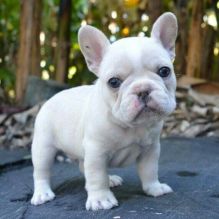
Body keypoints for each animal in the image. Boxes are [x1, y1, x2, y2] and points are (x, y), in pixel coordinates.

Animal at [30, 12, 178, 210]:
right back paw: (42, 193)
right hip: (43, 147)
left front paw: (154, 188)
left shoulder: (151, 149)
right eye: (114, 82)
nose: (143, 90)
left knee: (82, 166)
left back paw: (111, 179)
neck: (130, 126)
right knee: (41, 172)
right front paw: (100, 199)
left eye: (164, 71)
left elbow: (150, 171)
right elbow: (96, 176)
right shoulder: (96, 153)